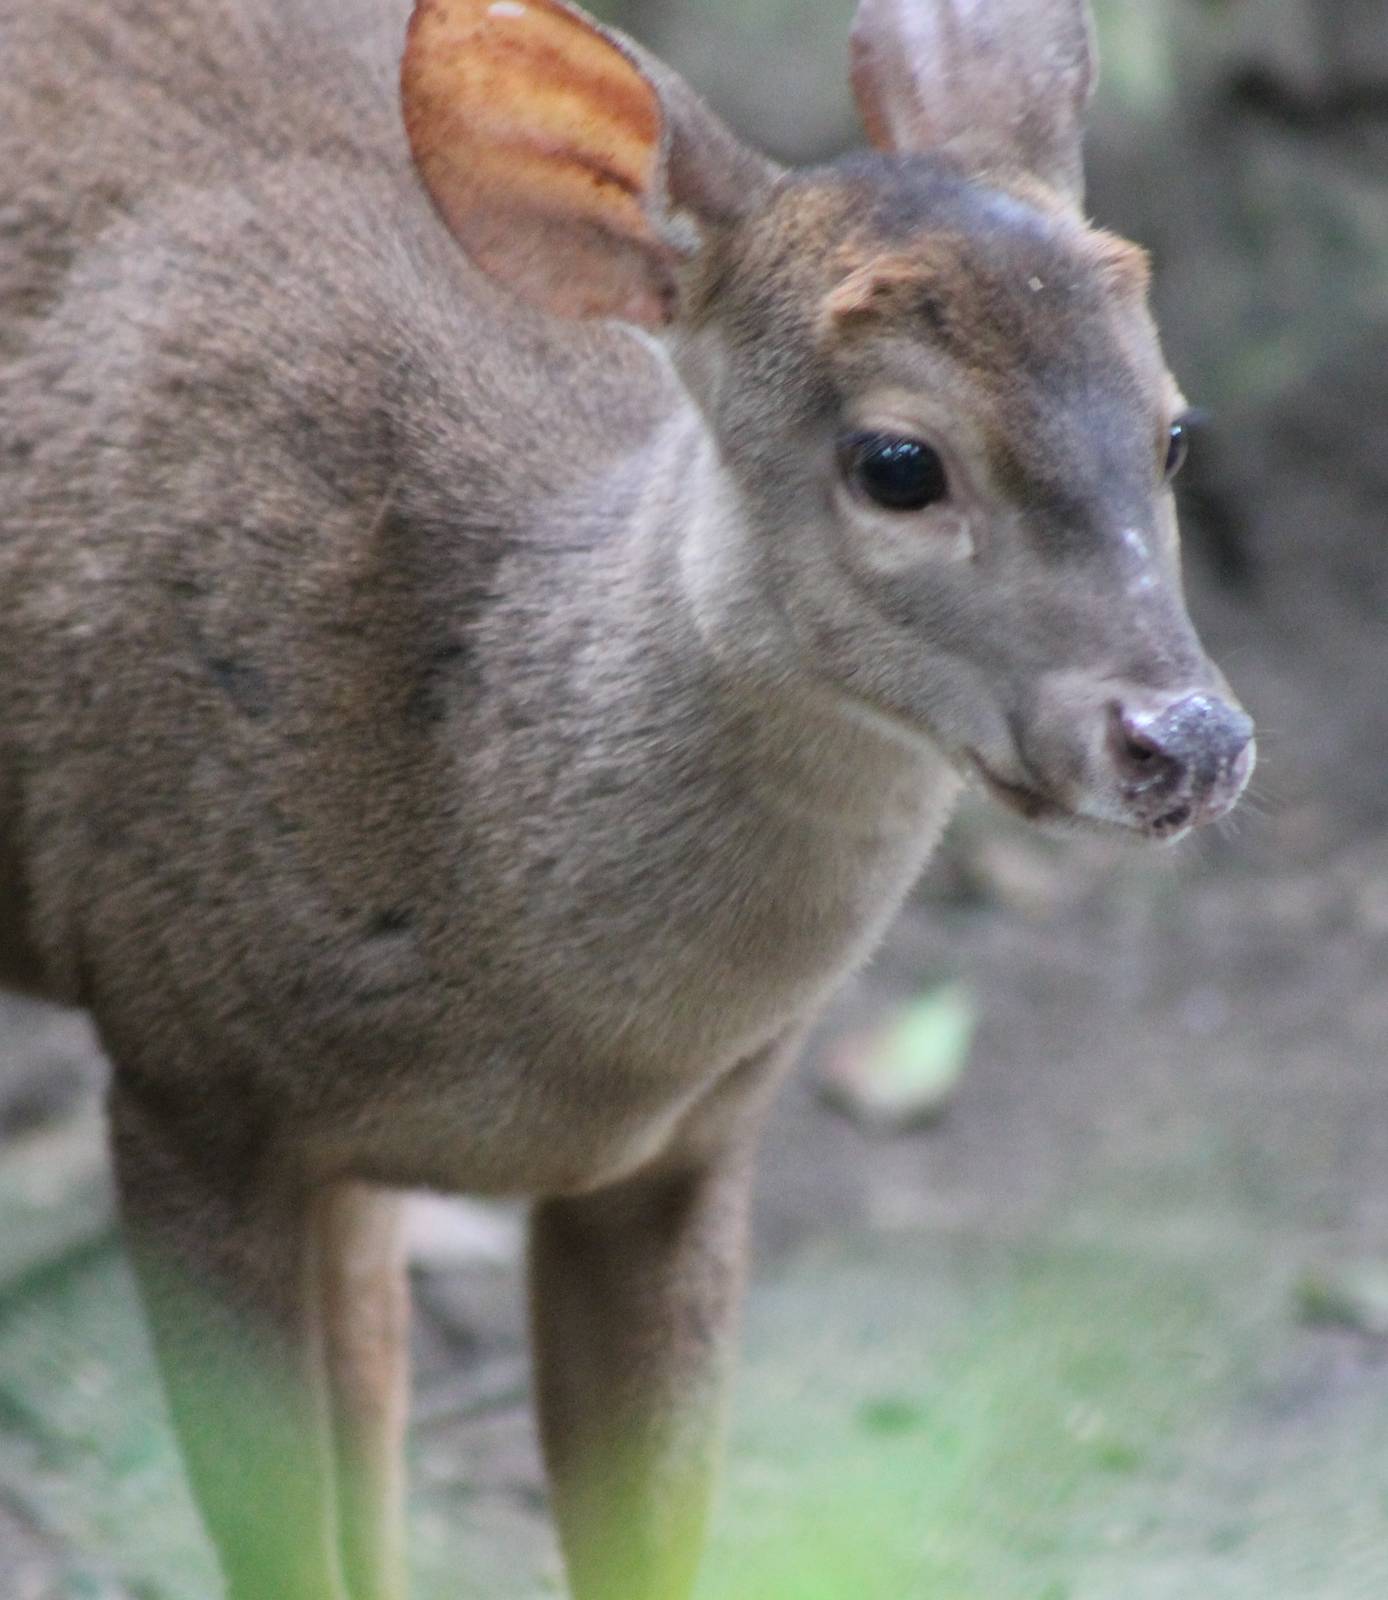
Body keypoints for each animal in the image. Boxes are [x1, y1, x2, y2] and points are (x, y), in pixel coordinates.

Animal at [0, 0, 1255, 1595]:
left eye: (1172, 428)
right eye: (897, 461)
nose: (1186, 738)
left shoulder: (688, 1148)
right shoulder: (178, 1068)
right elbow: (273, 1536)